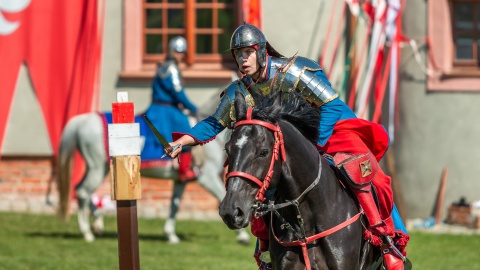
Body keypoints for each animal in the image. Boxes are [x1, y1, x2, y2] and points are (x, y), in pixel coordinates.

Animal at [55, 97, 249, 245]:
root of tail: (82, 121)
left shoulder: (181, 181)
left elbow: (174, 205)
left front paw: (171, 235)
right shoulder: (207, 178)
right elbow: (222, 196)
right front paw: (242, 235)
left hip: (98, 167)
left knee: (80, 189)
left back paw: (97, 225)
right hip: (98, 167)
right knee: (83, 192)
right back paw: (87, 232)